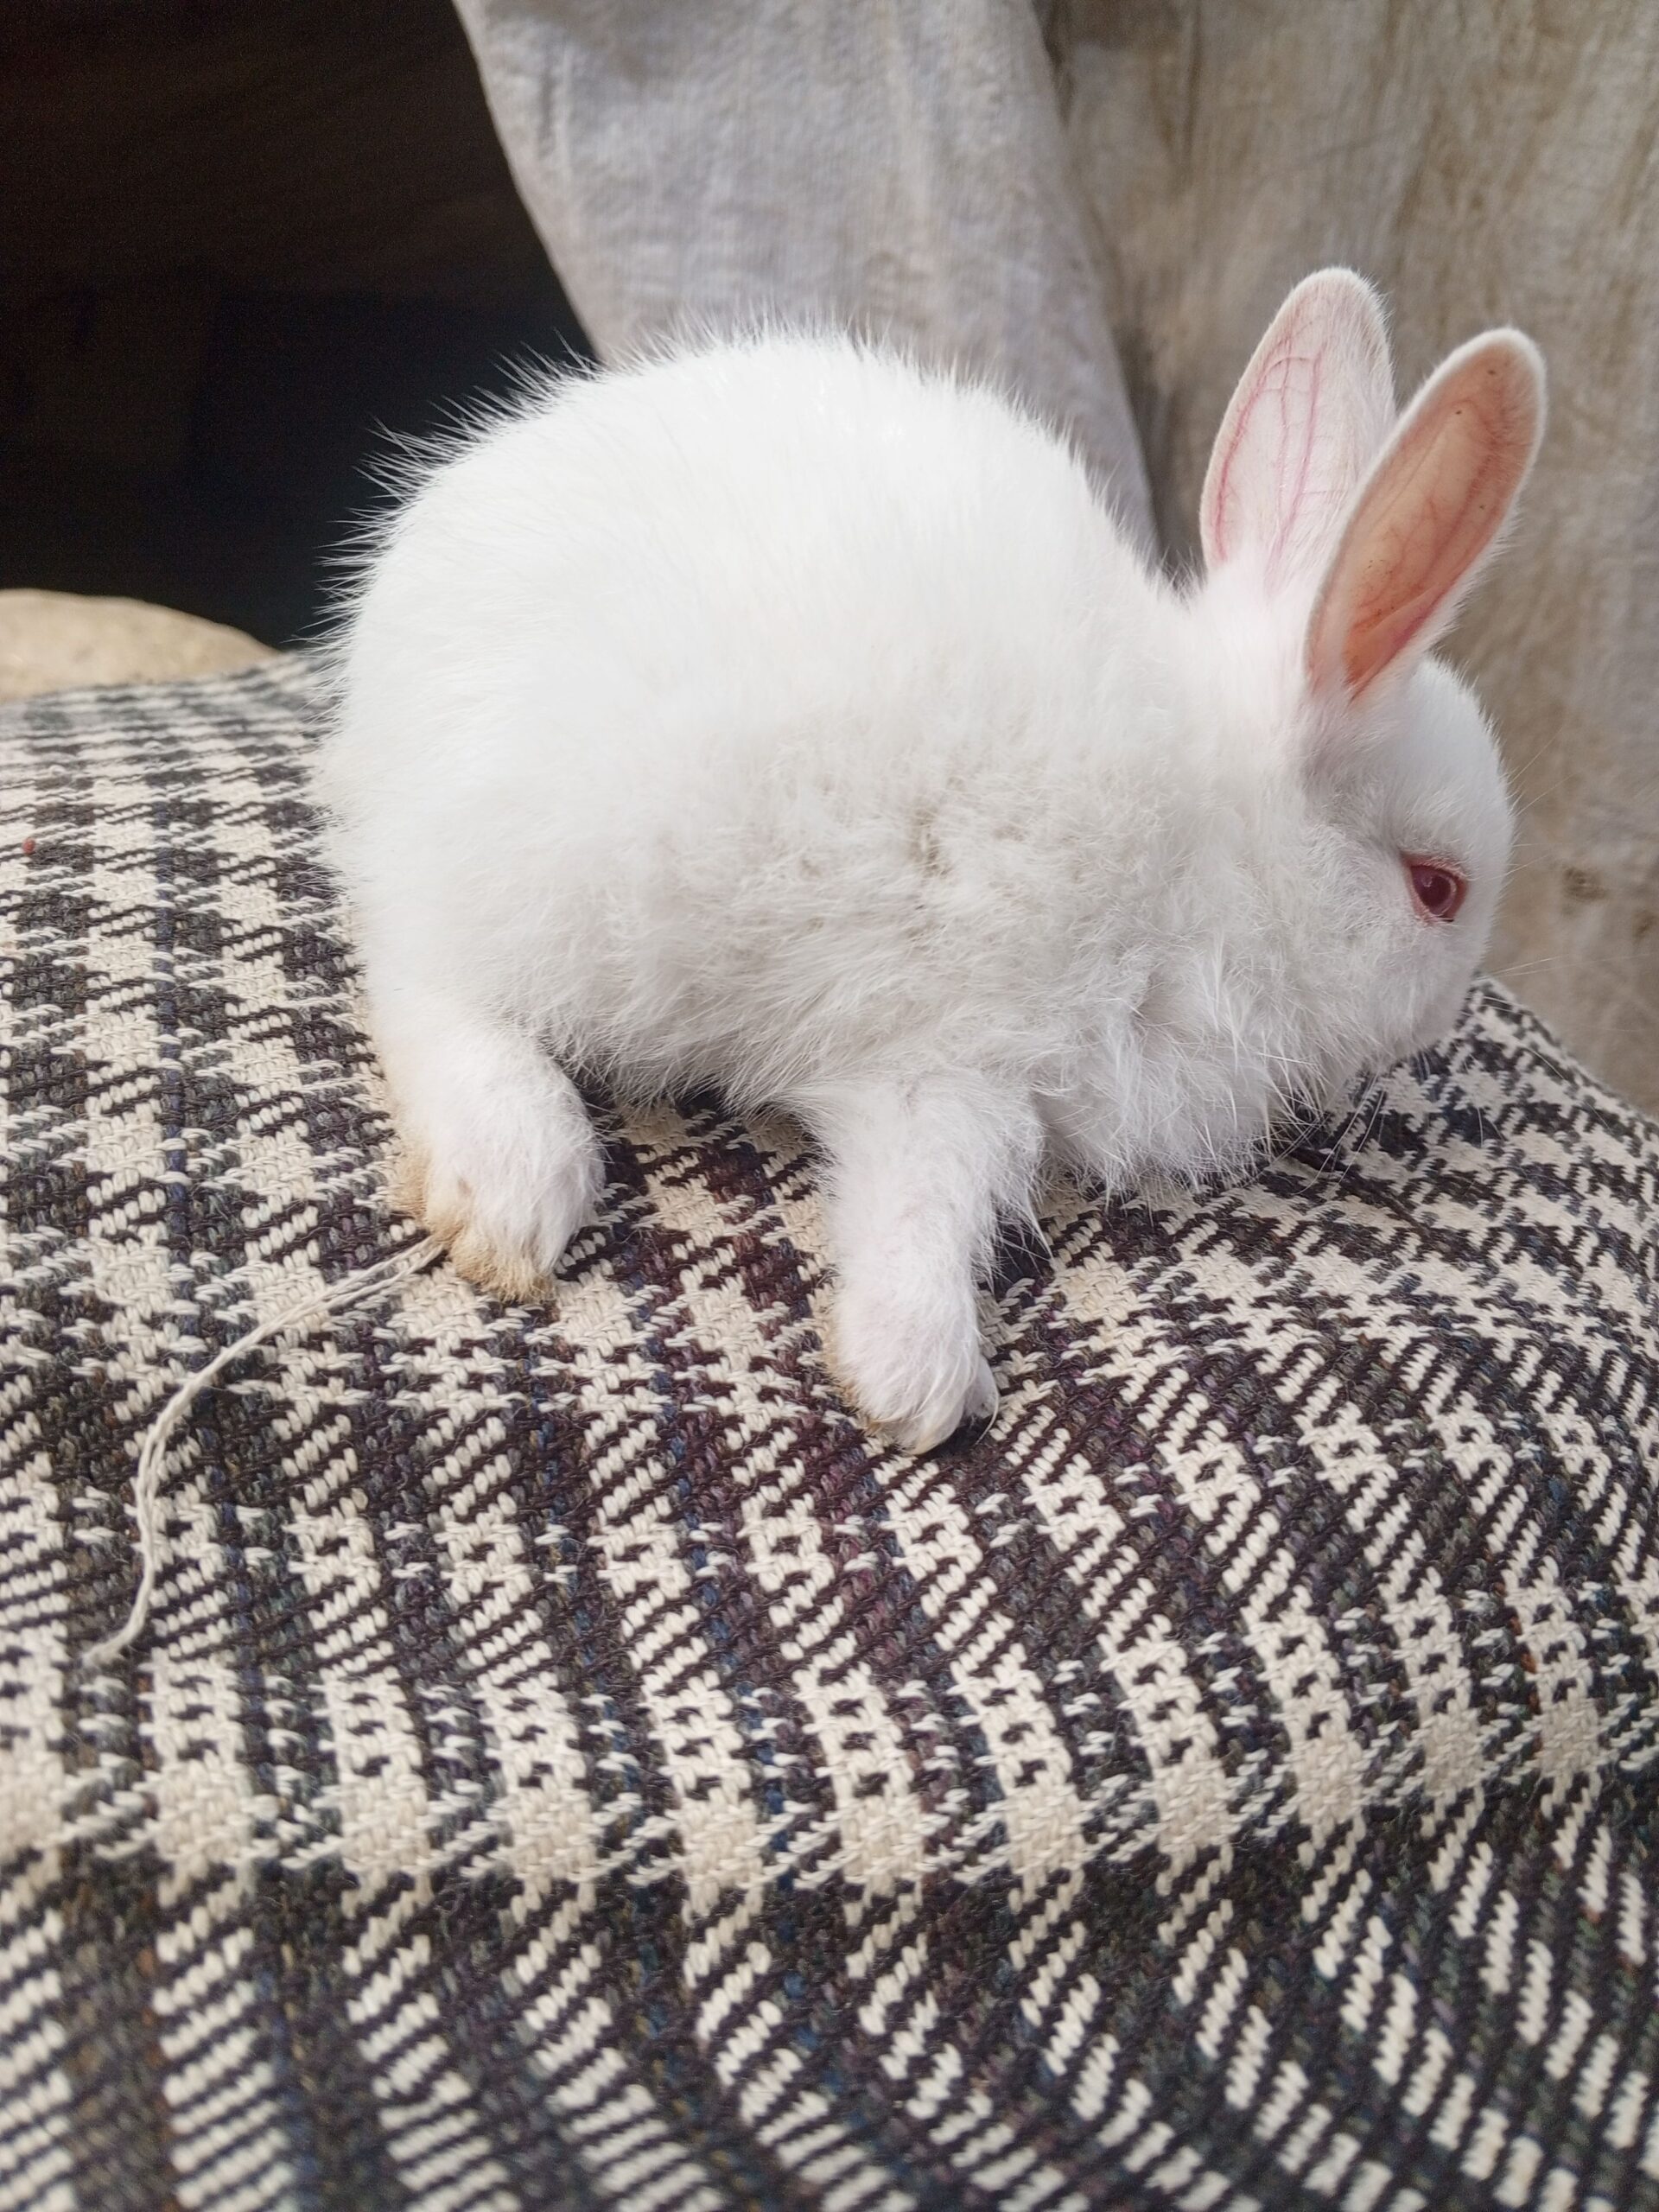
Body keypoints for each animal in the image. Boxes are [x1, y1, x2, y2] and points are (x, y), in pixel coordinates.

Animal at [318, 269, 1543, 1452]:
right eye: (1438, 889)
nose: (1444, 1021)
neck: (1215, 838)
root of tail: (383, 682)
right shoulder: (959, 1050)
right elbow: (927, 1206)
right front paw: (918, 1385)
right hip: (588, 886)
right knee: (417, 969)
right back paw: (512, 1186)